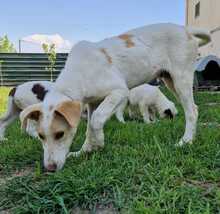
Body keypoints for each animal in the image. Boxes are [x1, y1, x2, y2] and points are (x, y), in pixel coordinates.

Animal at [16, 23, 210, 171]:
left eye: (60, 134)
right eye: (40, 136)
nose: (49, 169)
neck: (80, 72)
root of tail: (185, 30)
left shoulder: (119, 91)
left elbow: (96, 121)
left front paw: (99, 143)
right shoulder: (92, 103)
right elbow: (88, 128)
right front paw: (85, 151)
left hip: (181, 78)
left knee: (192, 111)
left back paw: (185, 141)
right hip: (170, 80)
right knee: (194, 108)